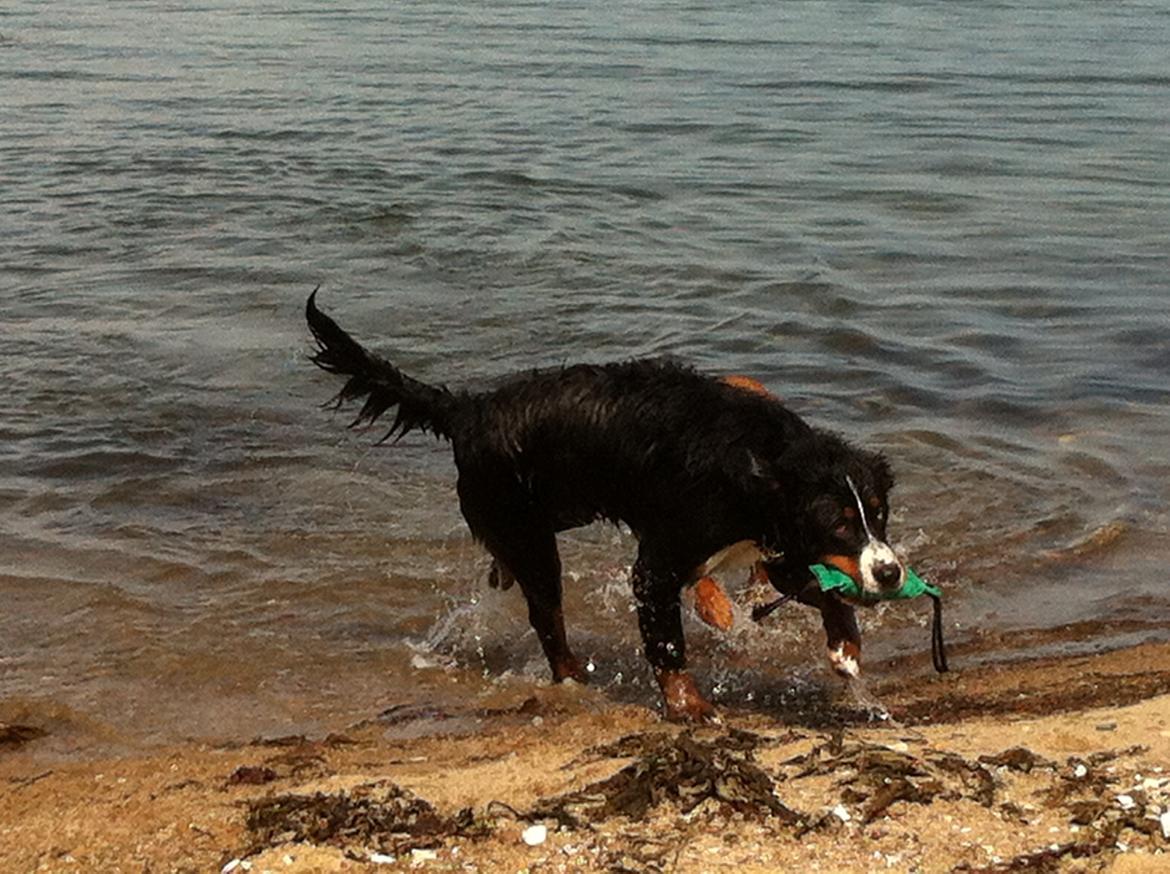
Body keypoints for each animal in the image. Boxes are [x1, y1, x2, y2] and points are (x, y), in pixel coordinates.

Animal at [308, 290, 903, 720]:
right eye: (837, 523)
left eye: (876, 514)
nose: (892, 572)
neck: (759, 463)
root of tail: (467, 410)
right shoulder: (661, 563)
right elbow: (667, 645)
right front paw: (689, 705)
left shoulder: (778, 545)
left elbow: (826, 592)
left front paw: (846, 646)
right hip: (529, 536)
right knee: (548, 620)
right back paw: (574, 679)